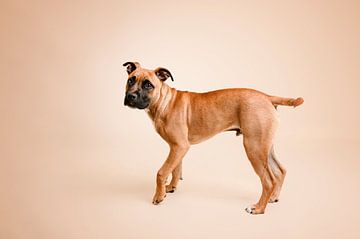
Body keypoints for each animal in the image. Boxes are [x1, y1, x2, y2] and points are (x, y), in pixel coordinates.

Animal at [122, 61, 302, 215]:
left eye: (148, 85)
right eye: (130, 80)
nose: (130, 97)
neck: (164, 101)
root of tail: (266, 96)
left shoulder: (179, 146)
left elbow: (162, 172)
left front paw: (158, 196)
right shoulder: (177, 148)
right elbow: (175, 169)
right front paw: (171, 188)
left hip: (254, 147)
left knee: (268, 180)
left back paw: (258, 208)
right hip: (265, 146)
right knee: (280, 170)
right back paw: (273, 197)